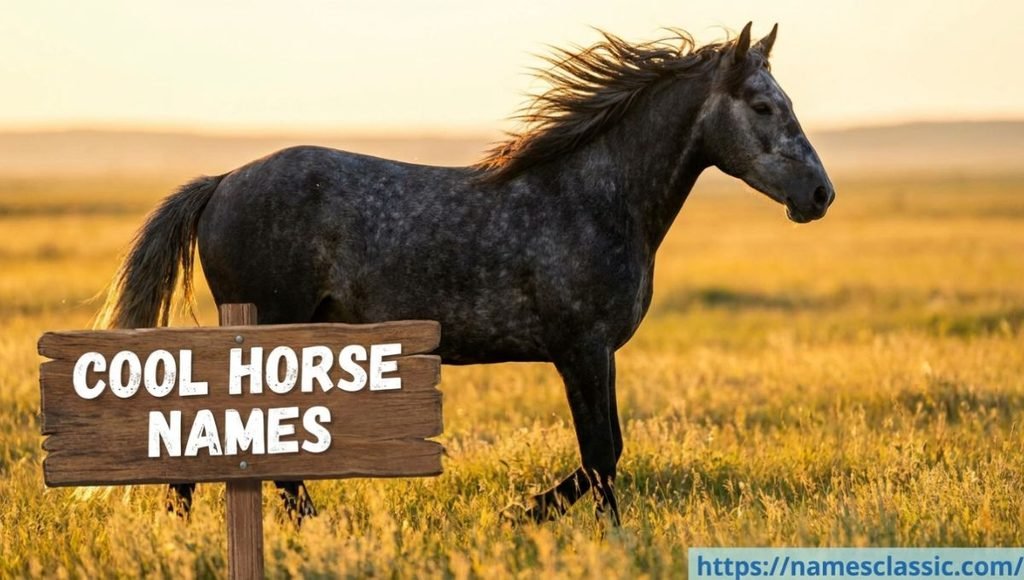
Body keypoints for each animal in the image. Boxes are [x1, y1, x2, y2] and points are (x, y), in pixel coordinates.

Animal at [98, 22, 834, 525]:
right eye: (764, 106)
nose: (821, 195)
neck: (595, 198)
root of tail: (221, 182)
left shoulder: (592, 354)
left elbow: (605, 454)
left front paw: (526, 512)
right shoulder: (582, 349)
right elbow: (602, 454)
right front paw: (565, 524)